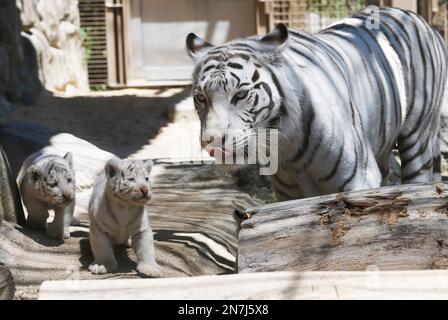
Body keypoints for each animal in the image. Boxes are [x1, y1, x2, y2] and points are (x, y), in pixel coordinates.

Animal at [185, 6, 444, 200]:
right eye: (201, 98)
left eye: (240, 95)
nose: (212, 141)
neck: (286, 148)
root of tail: (420, 20)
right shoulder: (287, 194)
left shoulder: (360, 179)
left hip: (417, 140)